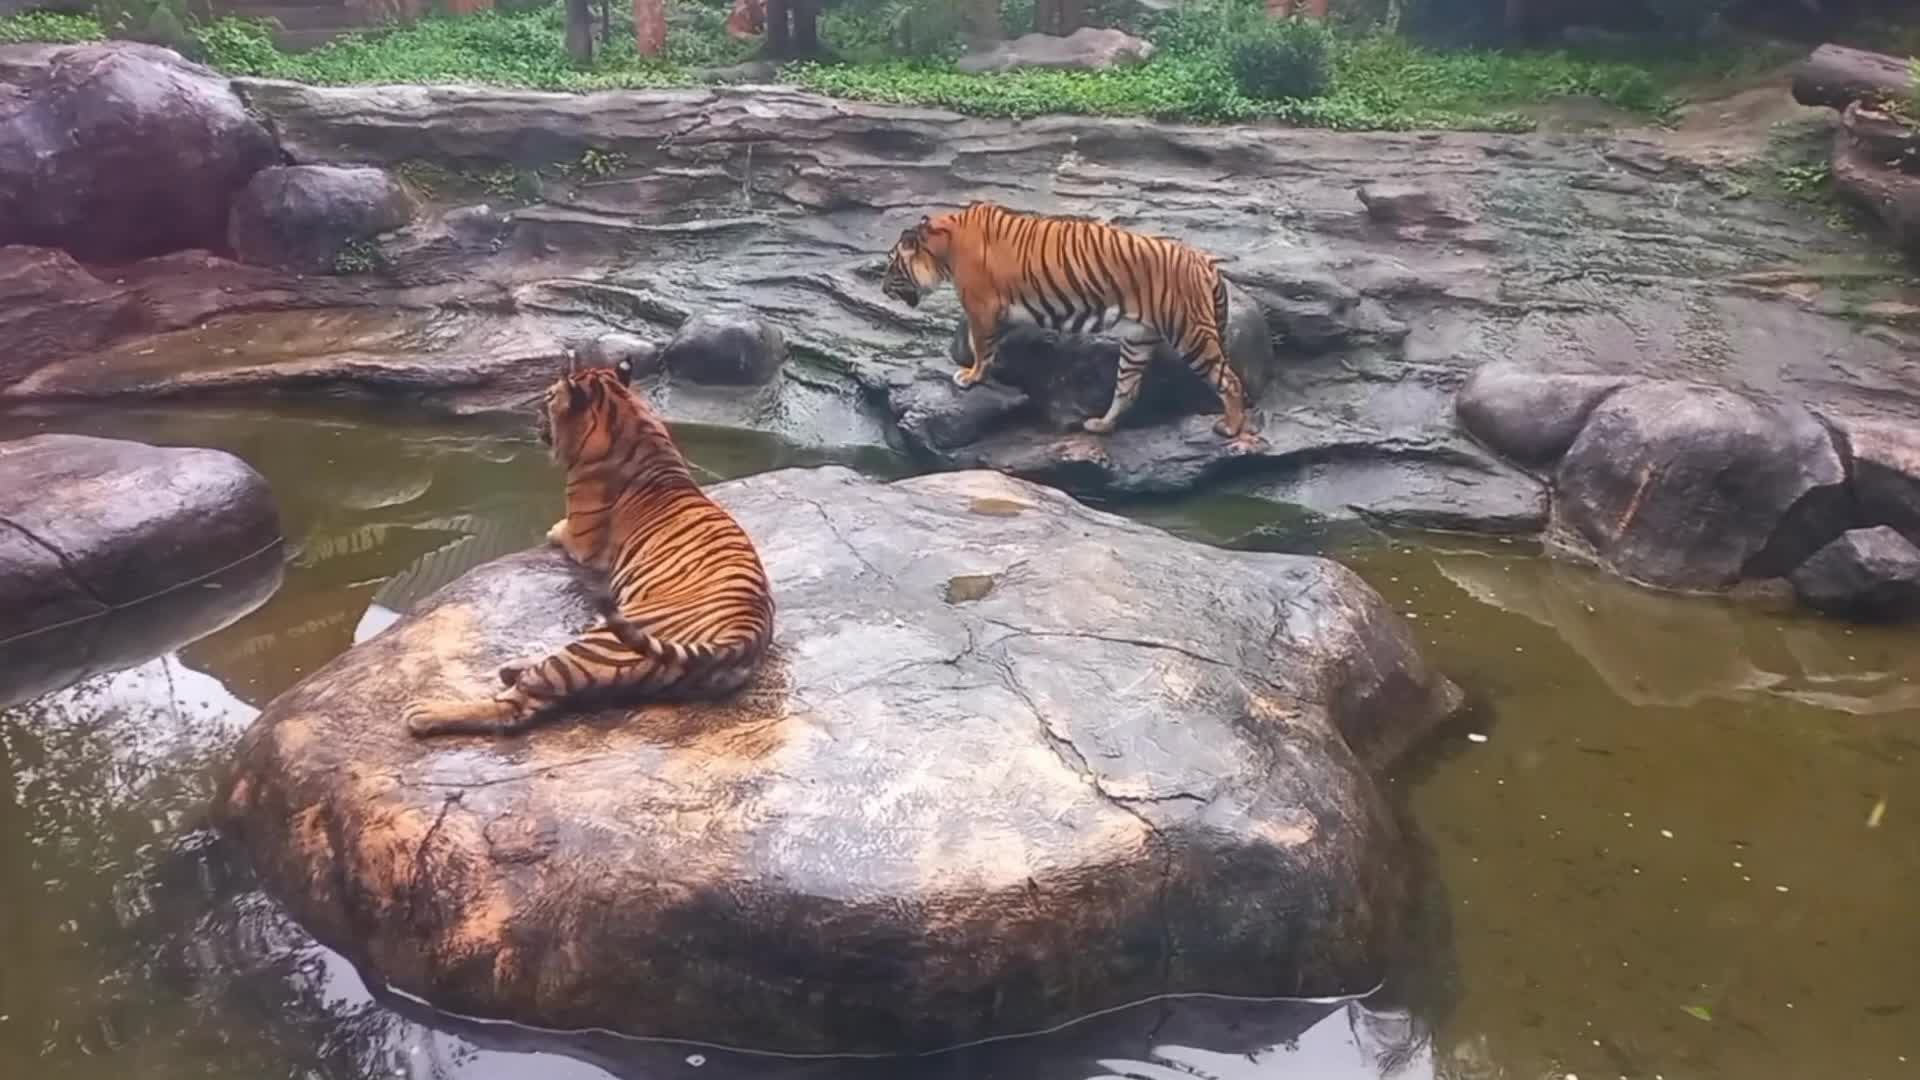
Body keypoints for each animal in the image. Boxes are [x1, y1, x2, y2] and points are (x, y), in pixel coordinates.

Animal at [403, 357, 775, 738]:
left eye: (549, 397)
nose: (535, 418)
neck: (625, 413)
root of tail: (743, 636)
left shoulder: (579, 536)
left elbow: (559, 531)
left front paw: (552, 528)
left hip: (607, 640)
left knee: (517, 707)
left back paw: (424, 712)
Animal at [880, 201, 1261, 448]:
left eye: (891, 265)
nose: (883, 289)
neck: (945, 243)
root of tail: (1203, 260)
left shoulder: (980, 306)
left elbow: (981, 345)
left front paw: (971, 377)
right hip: (1139, 340)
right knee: (1127, 388)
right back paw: (1101, 425)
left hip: (1189, 332)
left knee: (1229, 381)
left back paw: (1230, 428)